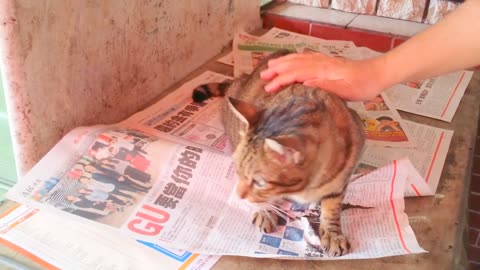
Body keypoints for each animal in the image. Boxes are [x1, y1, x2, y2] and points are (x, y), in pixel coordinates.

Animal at [191, 50, 364, 255]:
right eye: (238, 172)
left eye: (260, 182)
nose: (239, 196)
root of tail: (242, 77)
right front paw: (267, 211)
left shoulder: (343, 174)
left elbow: (333, 206)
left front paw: (333, 233)